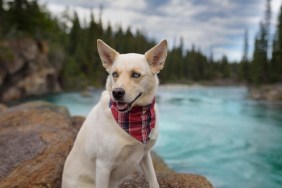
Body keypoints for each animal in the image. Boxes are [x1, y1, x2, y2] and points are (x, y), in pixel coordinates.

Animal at [62, 39, 167, 187]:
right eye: (115, 74)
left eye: (135, 74)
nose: (117, 92)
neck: (133, 118)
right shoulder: (103, 165)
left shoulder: (145, 154)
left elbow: (153, 180)